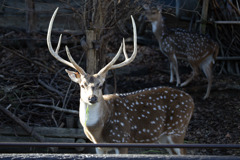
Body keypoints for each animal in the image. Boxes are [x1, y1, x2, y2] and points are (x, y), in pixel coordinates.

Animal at [47, 7, 195, 155]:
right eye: (82, 85)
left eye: (101, 85)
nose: (92, 98)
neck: (98, 132)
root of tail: (191, 100)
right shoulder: (99, 147)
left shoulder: (122, 139)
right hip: (164, 138)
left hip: (178, 130)